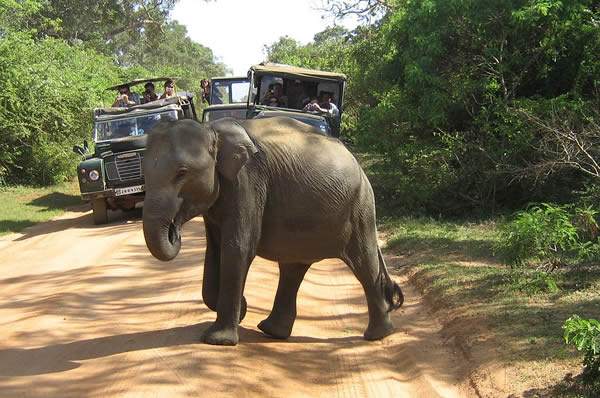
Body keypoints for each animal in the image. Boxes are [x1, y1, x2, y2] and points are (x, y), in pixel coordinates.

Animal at [142, 116, 404, 346]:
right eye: (143, 175)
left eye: (182, 173)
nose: (174, 230)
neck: (212, 130)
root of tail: (360, 167)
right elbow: (214, 251)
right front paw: (239, 310)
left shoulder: (248, 180)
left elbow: (237, 248)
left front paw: (219, 340)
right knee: (293, 269)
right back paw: (272, 331)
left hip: (360, 207)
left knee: (364, 265)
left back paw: (377, 335)